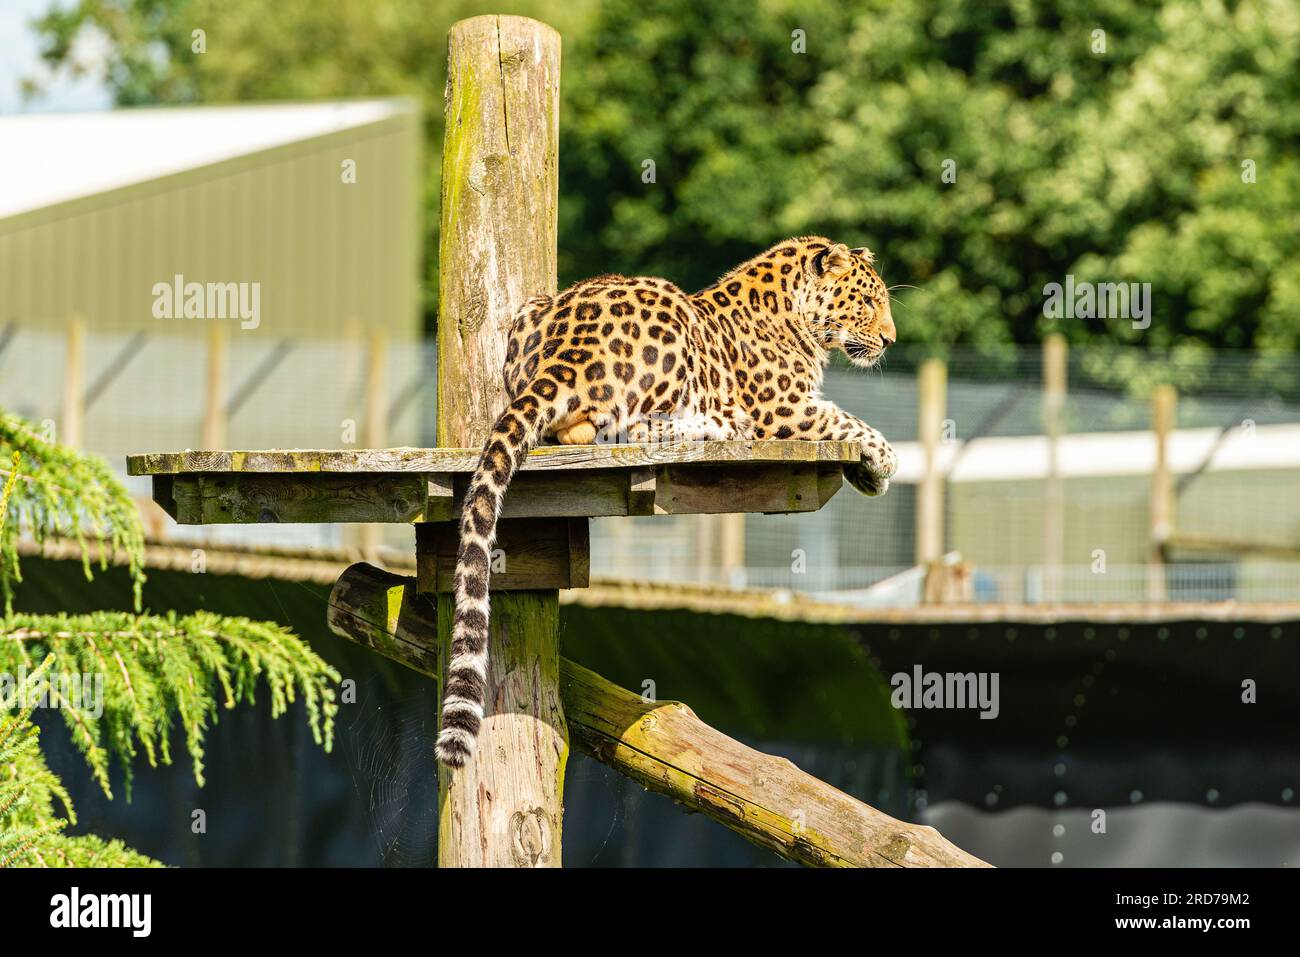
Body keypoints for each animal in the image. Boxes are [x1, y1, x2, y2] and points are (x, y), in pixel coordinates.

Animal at [436, 235, 894, 764]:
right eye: (868, 302)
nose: (890, 340)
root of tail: (565, 352)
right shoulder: (785, 409)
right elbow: (852, 421)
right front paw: (884, 463)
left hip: (532, 311)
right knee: (623, 428)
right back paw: (719, 423)